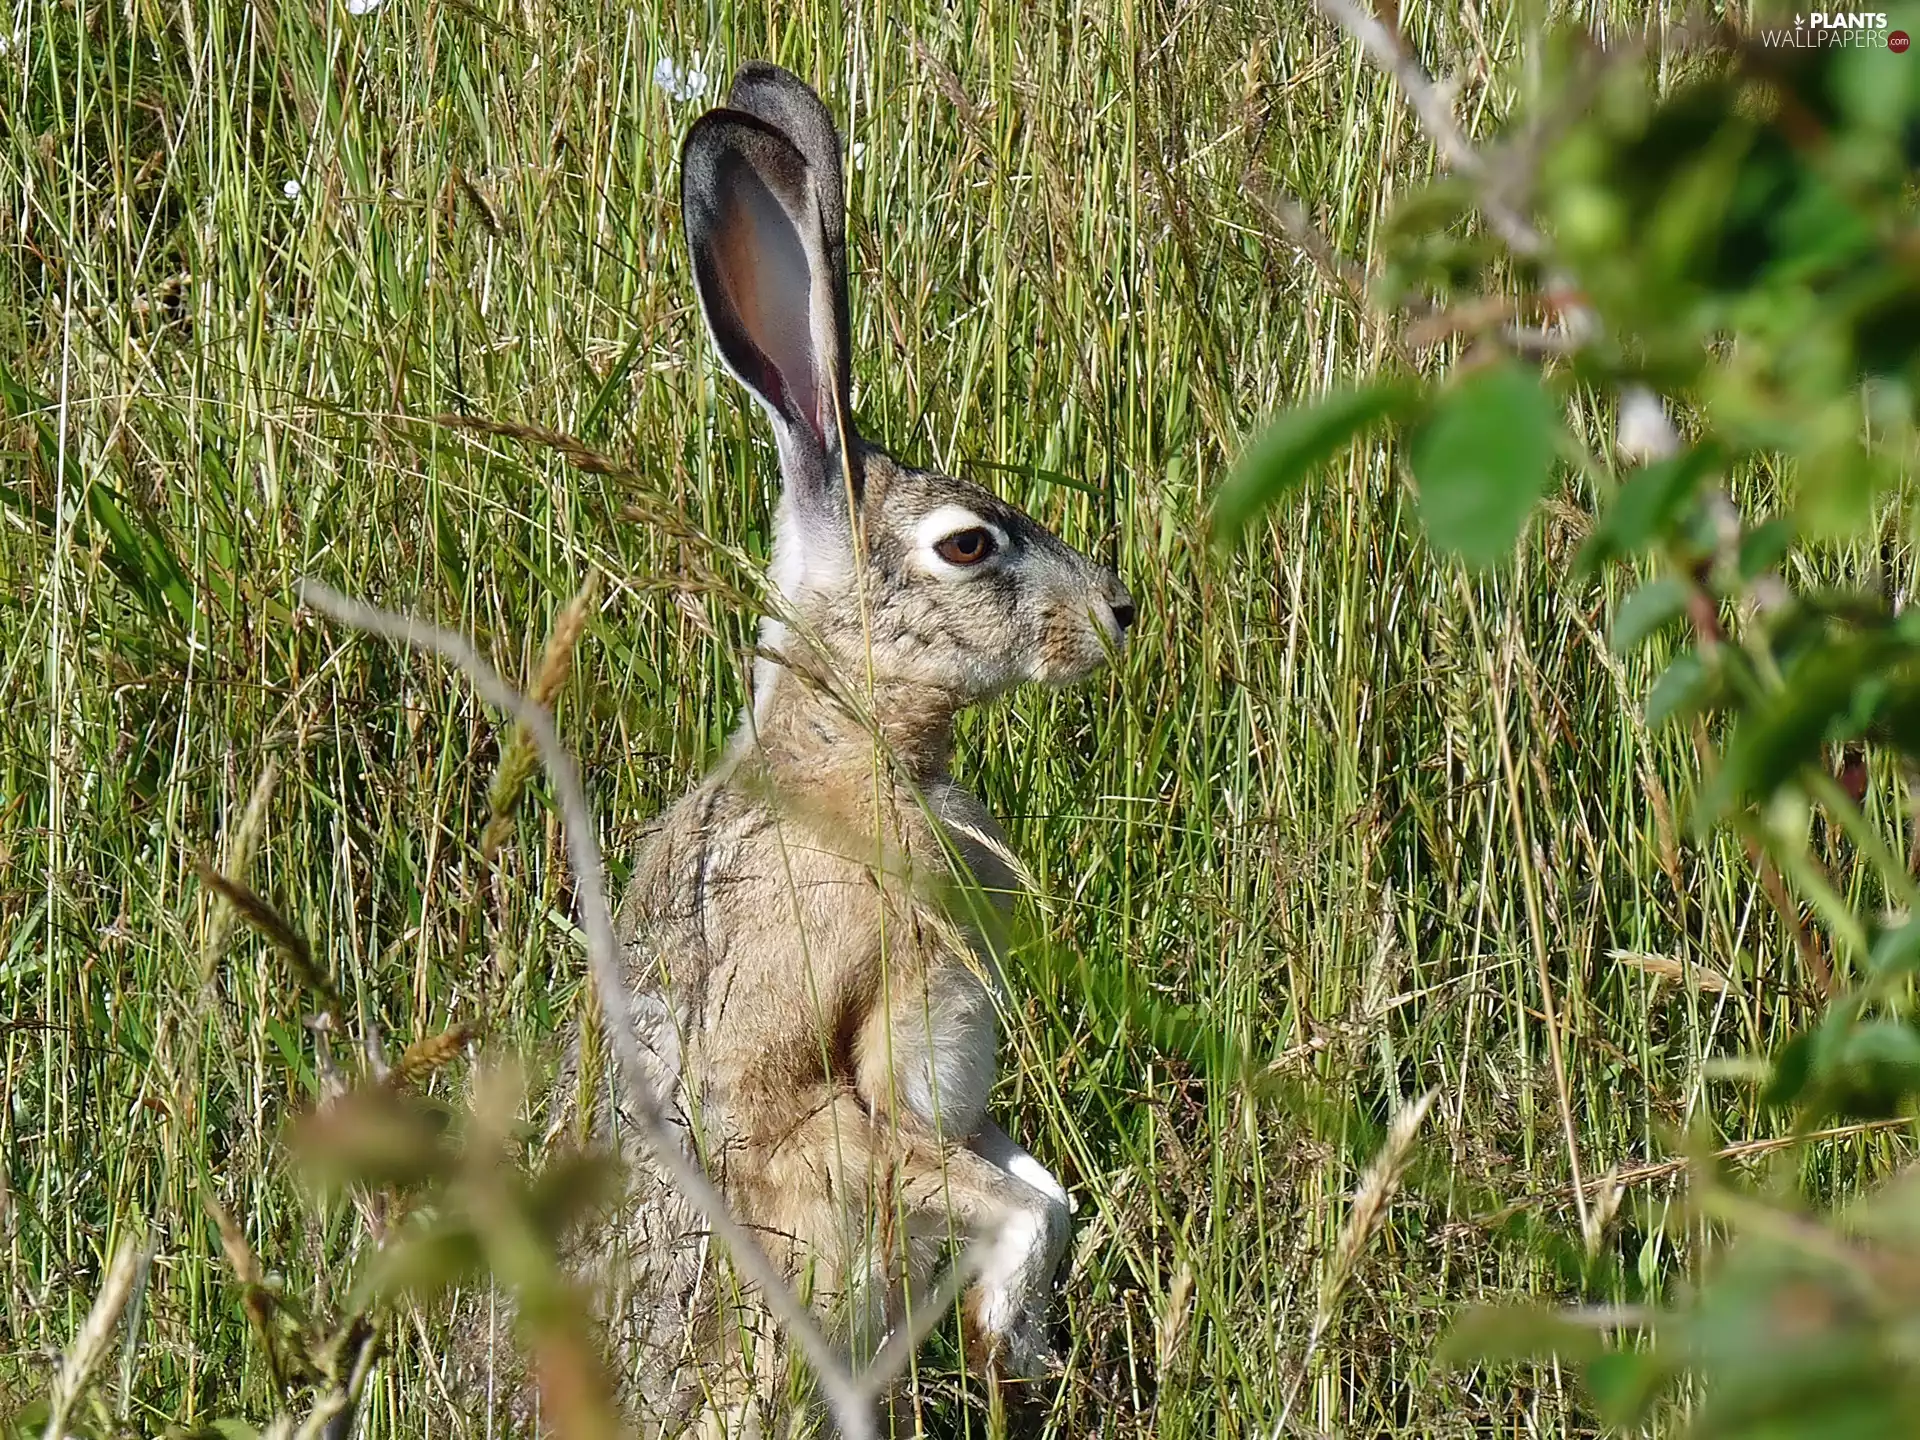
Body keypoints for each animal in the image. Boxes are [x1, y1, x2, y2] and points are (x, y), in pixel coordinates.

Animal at [576, 60, 1137, 1434]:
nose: (1118, 611)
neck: (856, 750)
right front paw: (1010, 1345)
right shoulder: (823, 1106)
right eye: (968, 545)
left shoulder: (956, 1107)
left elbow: (1042, 1188)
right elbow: (1014, 1209)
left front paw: (1019, 1353)